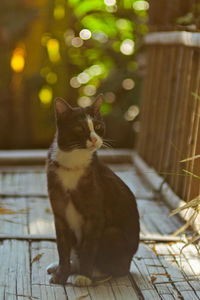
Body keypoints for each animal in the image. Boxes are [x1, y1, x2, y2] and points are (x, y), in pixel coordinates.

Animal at [46, 94, 140, 286]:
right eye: (79, 128)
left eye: (97, 127)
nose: (95, 139)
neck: (72, 162)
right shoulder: (59, 215)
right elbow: (62, 248)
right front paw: (61, 274)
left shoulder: (95, 216)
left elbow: (89, 247)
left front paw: (84, 275)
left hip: (112, 233)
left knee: (118, 270)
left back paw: (95, 273)